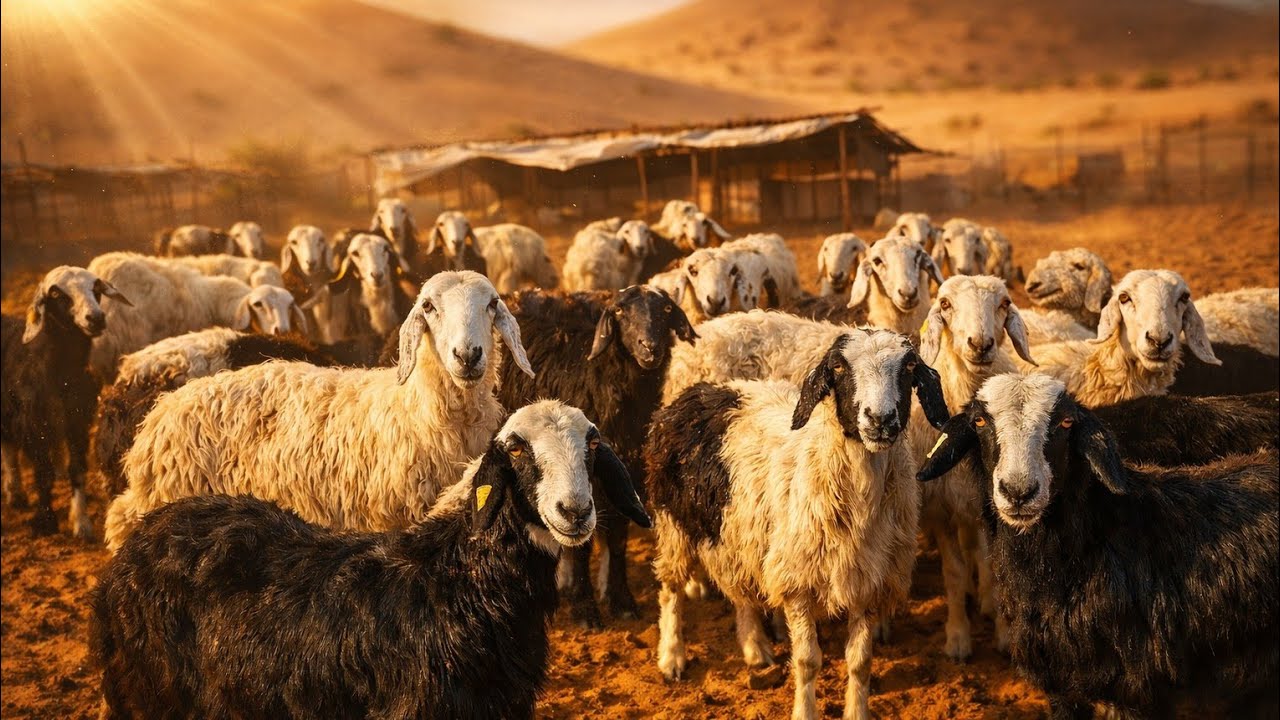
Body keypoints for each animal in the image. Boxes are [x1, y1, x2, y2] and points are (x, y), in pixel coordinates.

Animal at [2, 266, 132, 537]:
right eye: (56, 294)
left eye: (95, 289)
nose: (96, 318)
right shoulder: (34, 425)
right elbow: (43, 473)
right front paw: (46, 522)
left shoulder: (77, 421)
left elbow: (77, 468)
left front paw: (81, 523)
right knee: (8, 447)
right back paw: (14, 492)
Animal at [90, 400, 652, 720]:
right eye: (514, 449)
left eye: (592, 444)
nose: (574, 511)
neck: (458, 580)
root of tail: (139, 538)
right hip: (143, 692)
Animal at [497, 286, 697, 626]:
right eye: (620, 312)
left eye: (666, 310)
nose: (650, 347)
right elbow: (581, 548)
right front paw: (585, 609)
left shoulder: (622, 472)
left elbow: (617, 540)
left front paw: (622, 602)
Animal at [645, 329, 950, 720]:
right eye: (838, 367)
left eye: (909, 366)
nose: (880, 419)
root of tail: (691, 394)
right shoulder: (798, 584)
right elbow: (808, 661)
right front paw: (805, 711)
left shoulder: (867, 583)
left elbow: (860, 662)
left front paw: (856, 711)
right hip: (674, 525)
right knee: (670, 589)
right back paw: (671, 657)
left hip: (739, 533)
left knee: (740, 591)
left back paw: (755, 649)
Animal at [908, 275, 1037, 660]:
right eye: (945, 304)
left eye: (1005, 303)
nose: (980, 344)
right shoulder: (940, 509)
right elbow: (953, 571)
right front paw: (958, 637)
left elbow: (995, 569)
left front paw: (1005, 635)